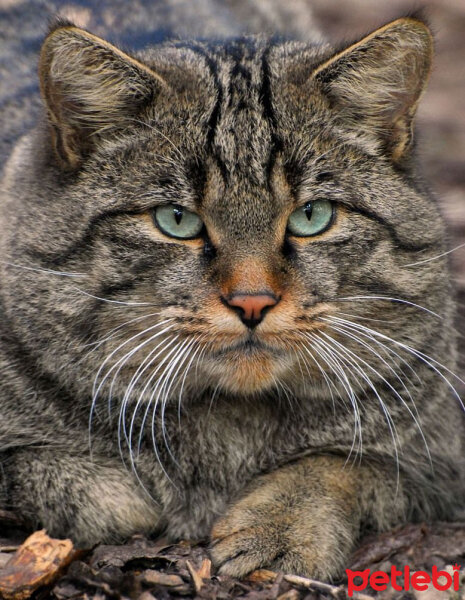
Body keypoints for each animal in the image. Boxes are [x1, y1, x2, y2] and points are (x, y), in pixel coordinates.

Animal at [0, 1, 464, 580]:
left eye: (312, 216)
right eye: (176, 219)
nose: (252, 301)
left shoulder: (439, 463)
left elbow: (339, 464)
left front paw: (279, 528)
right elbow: (76, 484)